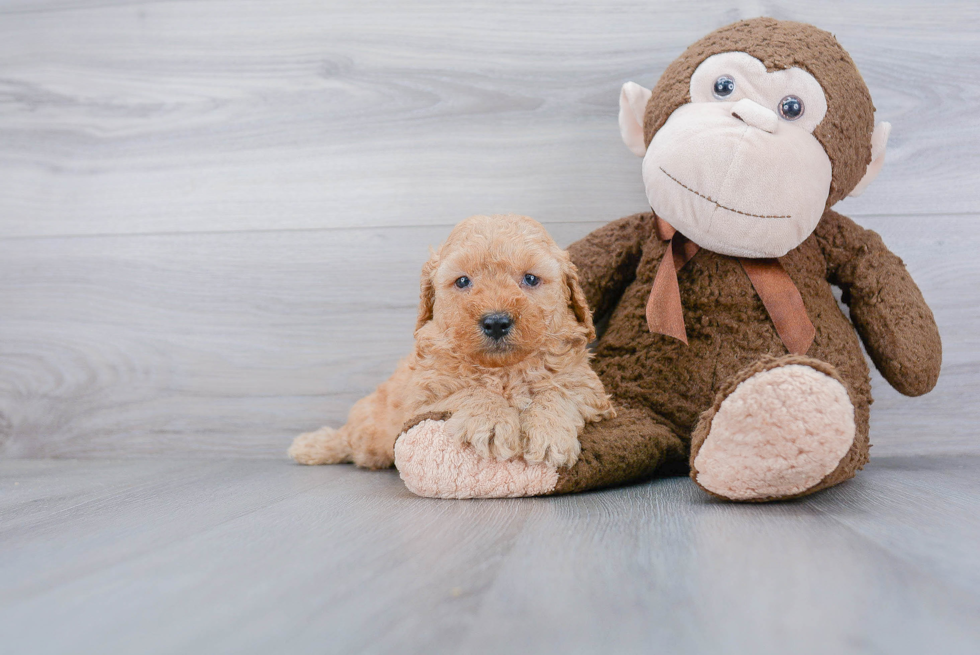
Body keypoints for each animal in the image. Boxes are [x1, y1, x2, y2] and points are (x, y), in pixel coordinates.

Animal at [288, 215, 616, 472]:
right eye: (462, 281)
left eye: (531, 279)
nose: (496, 322)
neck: (504, 370)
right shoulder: (422, 398)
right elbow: (469, 390)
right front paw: (492, 421)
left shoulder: (587, 387)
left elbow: (558, 392)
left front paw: (549, 433)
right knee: (349, 439)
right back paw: (313, 445)